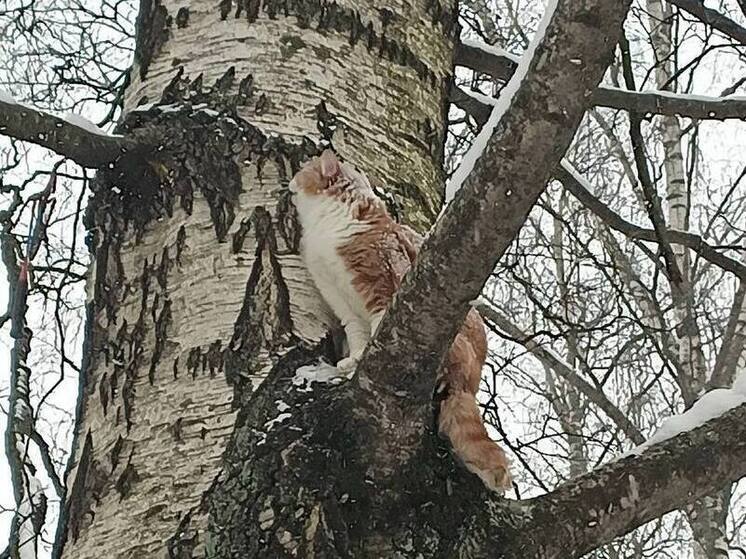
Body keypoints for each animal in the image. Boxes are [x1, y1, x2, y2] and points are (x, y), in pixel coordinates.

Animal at [286, 150, 512, 494]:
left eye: (304, 170)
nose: (290, 182)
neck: (326, 226)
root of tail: (470, 384)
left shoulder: (381, 285)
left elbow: (378, 327)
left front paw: (363, 359)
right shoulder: (341, 301)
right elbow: (358, 335)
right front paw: (353, 361)